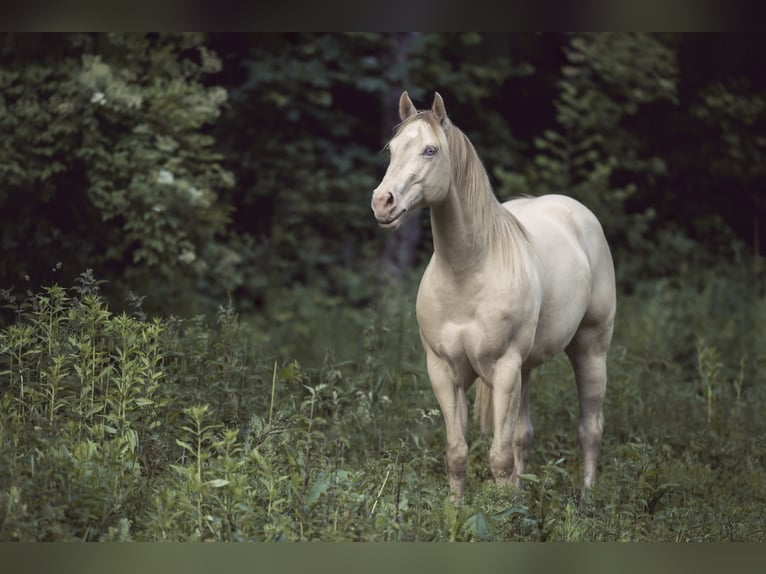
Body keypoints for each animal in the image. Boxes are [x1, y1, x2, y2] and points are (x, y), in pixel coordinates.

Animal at [371, 91, 616, 502]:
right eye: (392, 148)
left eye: (430, 150)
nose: (382, 202)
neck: (467, 272)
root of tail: (579, 214)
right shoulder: (444, 371)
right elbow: (458, 452)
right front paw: (457, 508)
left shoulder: (503, 369)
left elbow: (498, 458)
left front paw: (501, 514)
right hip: (526, 369)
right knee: (523, 436)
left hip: (590, 348)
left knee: (590, 429)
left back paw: (586, 498)